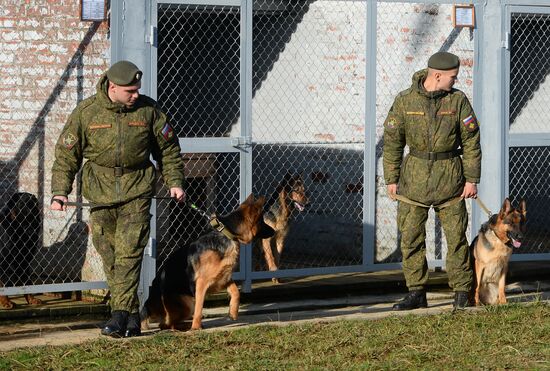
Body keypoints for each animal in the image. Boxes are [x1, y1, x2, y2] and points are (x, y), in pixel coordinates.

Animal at [140, 195, 274, 332]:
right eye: (262, 222)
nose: (274, 231)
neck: (226, 234)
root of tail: (148, 303)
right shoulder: (201, 283)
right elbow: (199, 307)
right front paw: (196, 327)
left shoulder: (224, 278)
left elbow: (236, 292)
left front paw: (233, 312)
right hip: (187, 304)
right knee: (165, 324)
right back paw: (185, 327)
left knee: (166, 324)